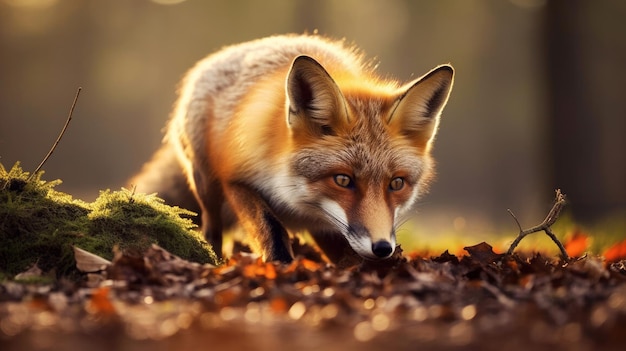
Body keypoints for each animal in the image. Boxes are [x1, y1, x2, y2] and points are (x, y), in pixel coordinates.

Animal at [132, 34, 454, 266]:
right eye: (343, 180)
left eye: (397, 183)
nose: (383, 248)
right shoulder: (237, 181)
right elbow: (271, 228)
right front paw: (281, 267)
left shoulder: (330, 226)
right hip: (206, 182)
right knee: (212, 228)